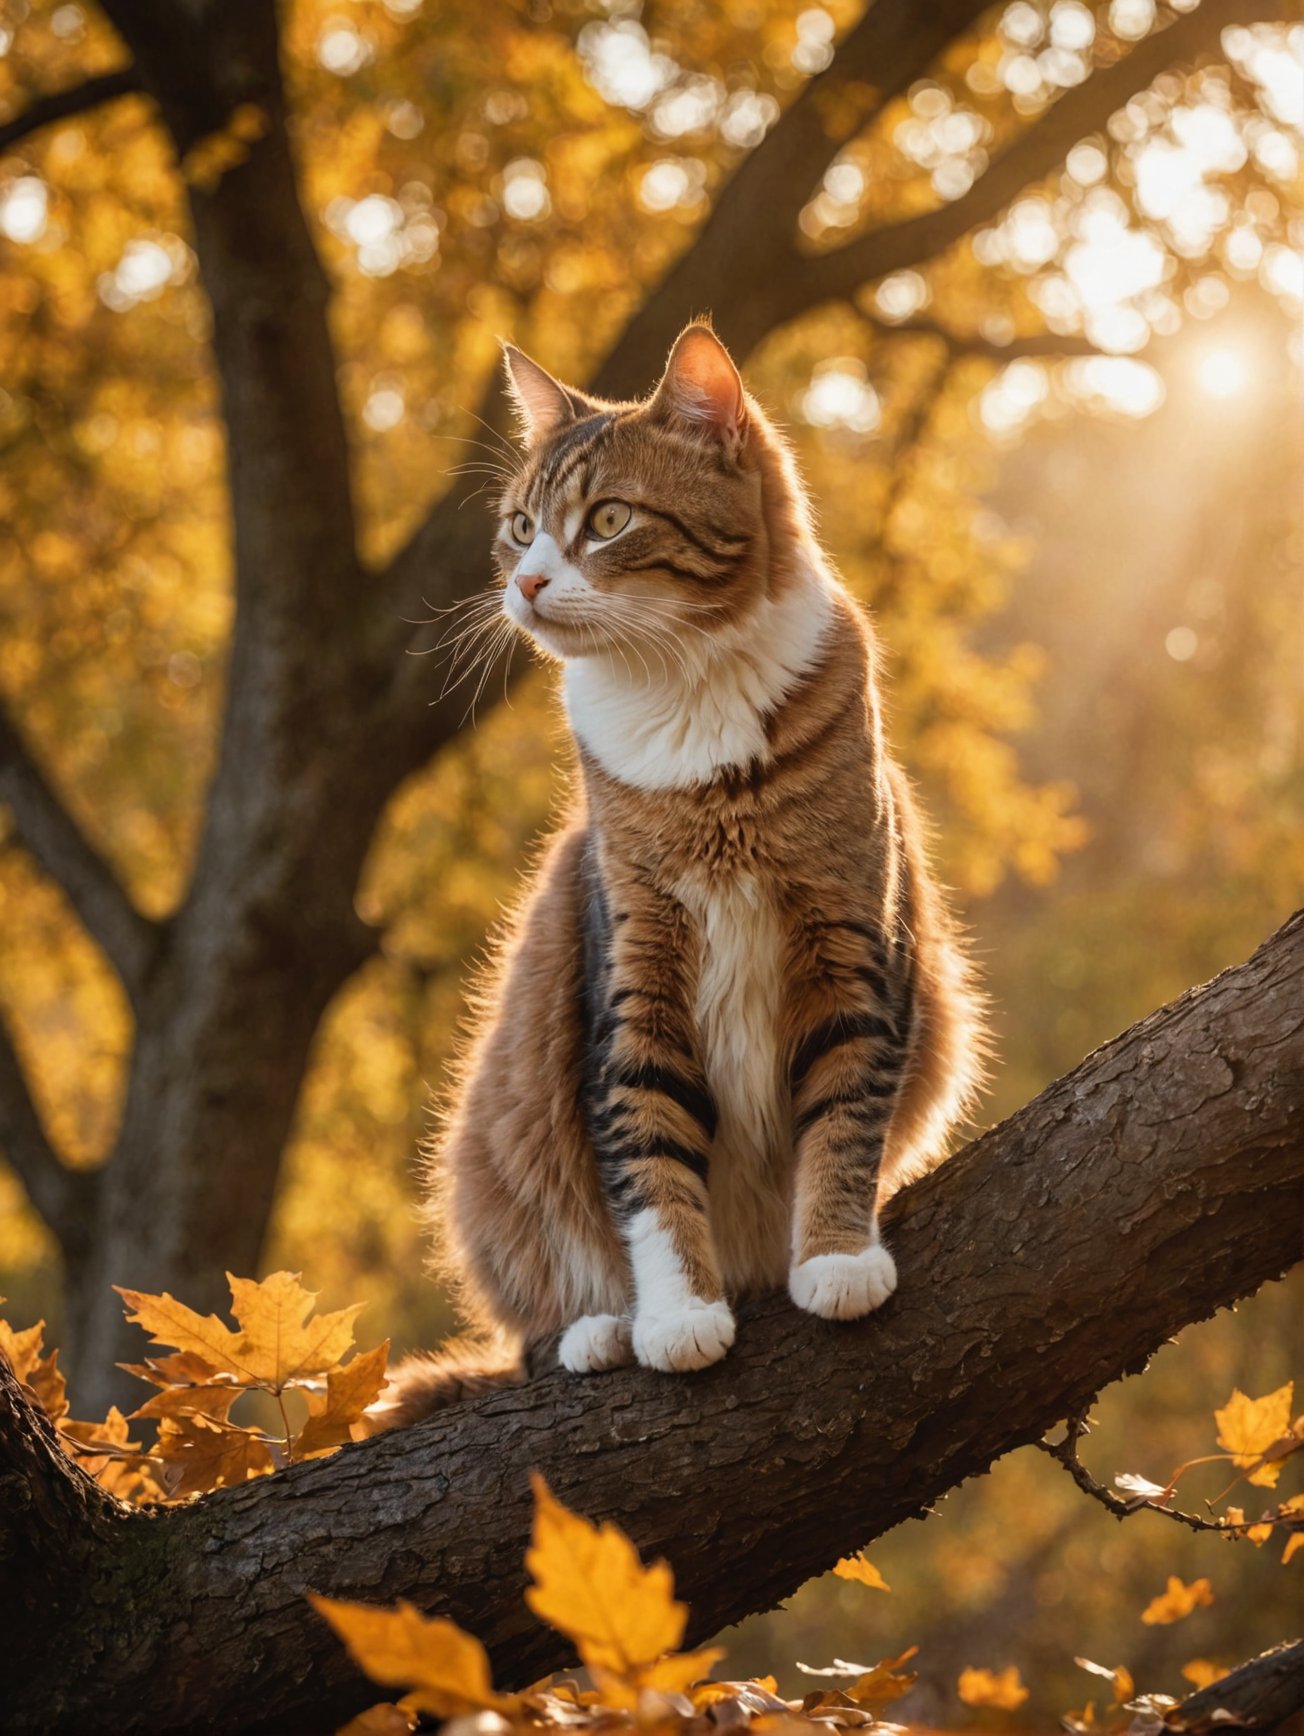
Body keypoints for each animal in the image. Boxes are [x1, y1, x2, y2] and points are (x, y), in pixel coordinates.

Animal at [364, 322, 979, 1423]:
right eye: (521, 527)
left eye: (606, 520)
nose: (526, 583)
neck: (689, 704)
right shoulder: (634, 966)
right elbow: (647, 1150)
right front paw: (677, 1316)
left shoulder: (851, 936)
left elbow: (844, 1109)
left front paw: (835, 1256)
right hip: (492, 1149)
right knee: (533, 1317)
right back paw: (596, 1332)